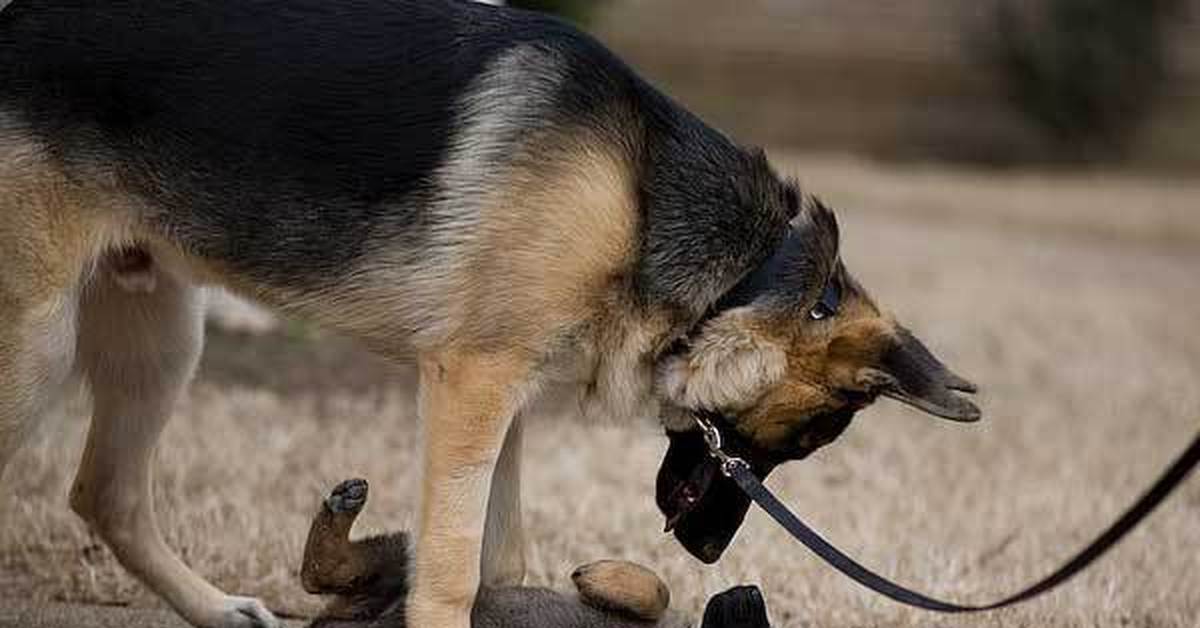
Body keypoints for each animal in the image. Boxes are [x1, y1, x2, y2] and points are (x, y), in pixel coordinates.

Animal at [300, 482, 768, 628]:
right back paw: (342, 505)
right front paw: (598, 574)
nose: (751, 592)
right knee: (321, 573)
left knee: (320, 576)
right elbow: (660, 589)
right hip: (418, 560)